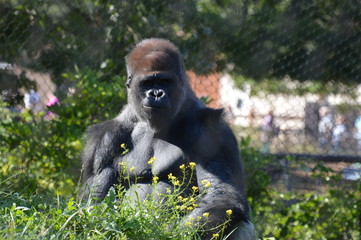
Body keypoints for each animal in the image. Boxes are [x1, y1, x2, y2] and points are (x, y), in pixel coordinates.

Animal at [80, 38, 255, 239]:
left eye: (164, 81)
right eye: (148, 83)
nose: (156, 93)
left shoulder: (210, 129)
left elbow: (221, 192)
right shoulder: (105, 139)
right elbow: (90, 202)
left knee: (237, 220)